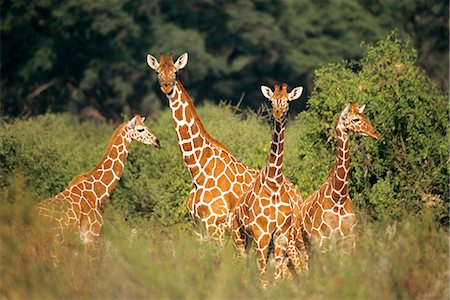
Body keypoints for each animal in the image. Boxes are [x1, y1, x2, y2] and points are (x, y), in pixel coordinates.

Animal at [147, 52, 258, 243]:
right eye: (157, 72)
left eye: (175, 72)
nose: (167, 88)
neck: (197, 172)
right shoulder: (198, 228)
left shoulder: (216, 226)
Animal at [232, 84, 310, 286]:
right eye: (271, 100)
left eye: (287, 101)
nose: (277, 113)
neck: (274, 182)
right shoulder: (261, 233)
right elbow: (263, 275)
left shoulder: (281, 234)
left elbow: (275, 274)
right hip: (239, 236)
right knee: (242, 263)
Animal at [298, 102, 382, 252]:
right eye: (355, 119)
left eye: (364, 116)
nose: (375, 134)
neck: (338, 197)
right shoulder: (322, 243)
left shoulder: (350, 242)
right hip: (302, 246)